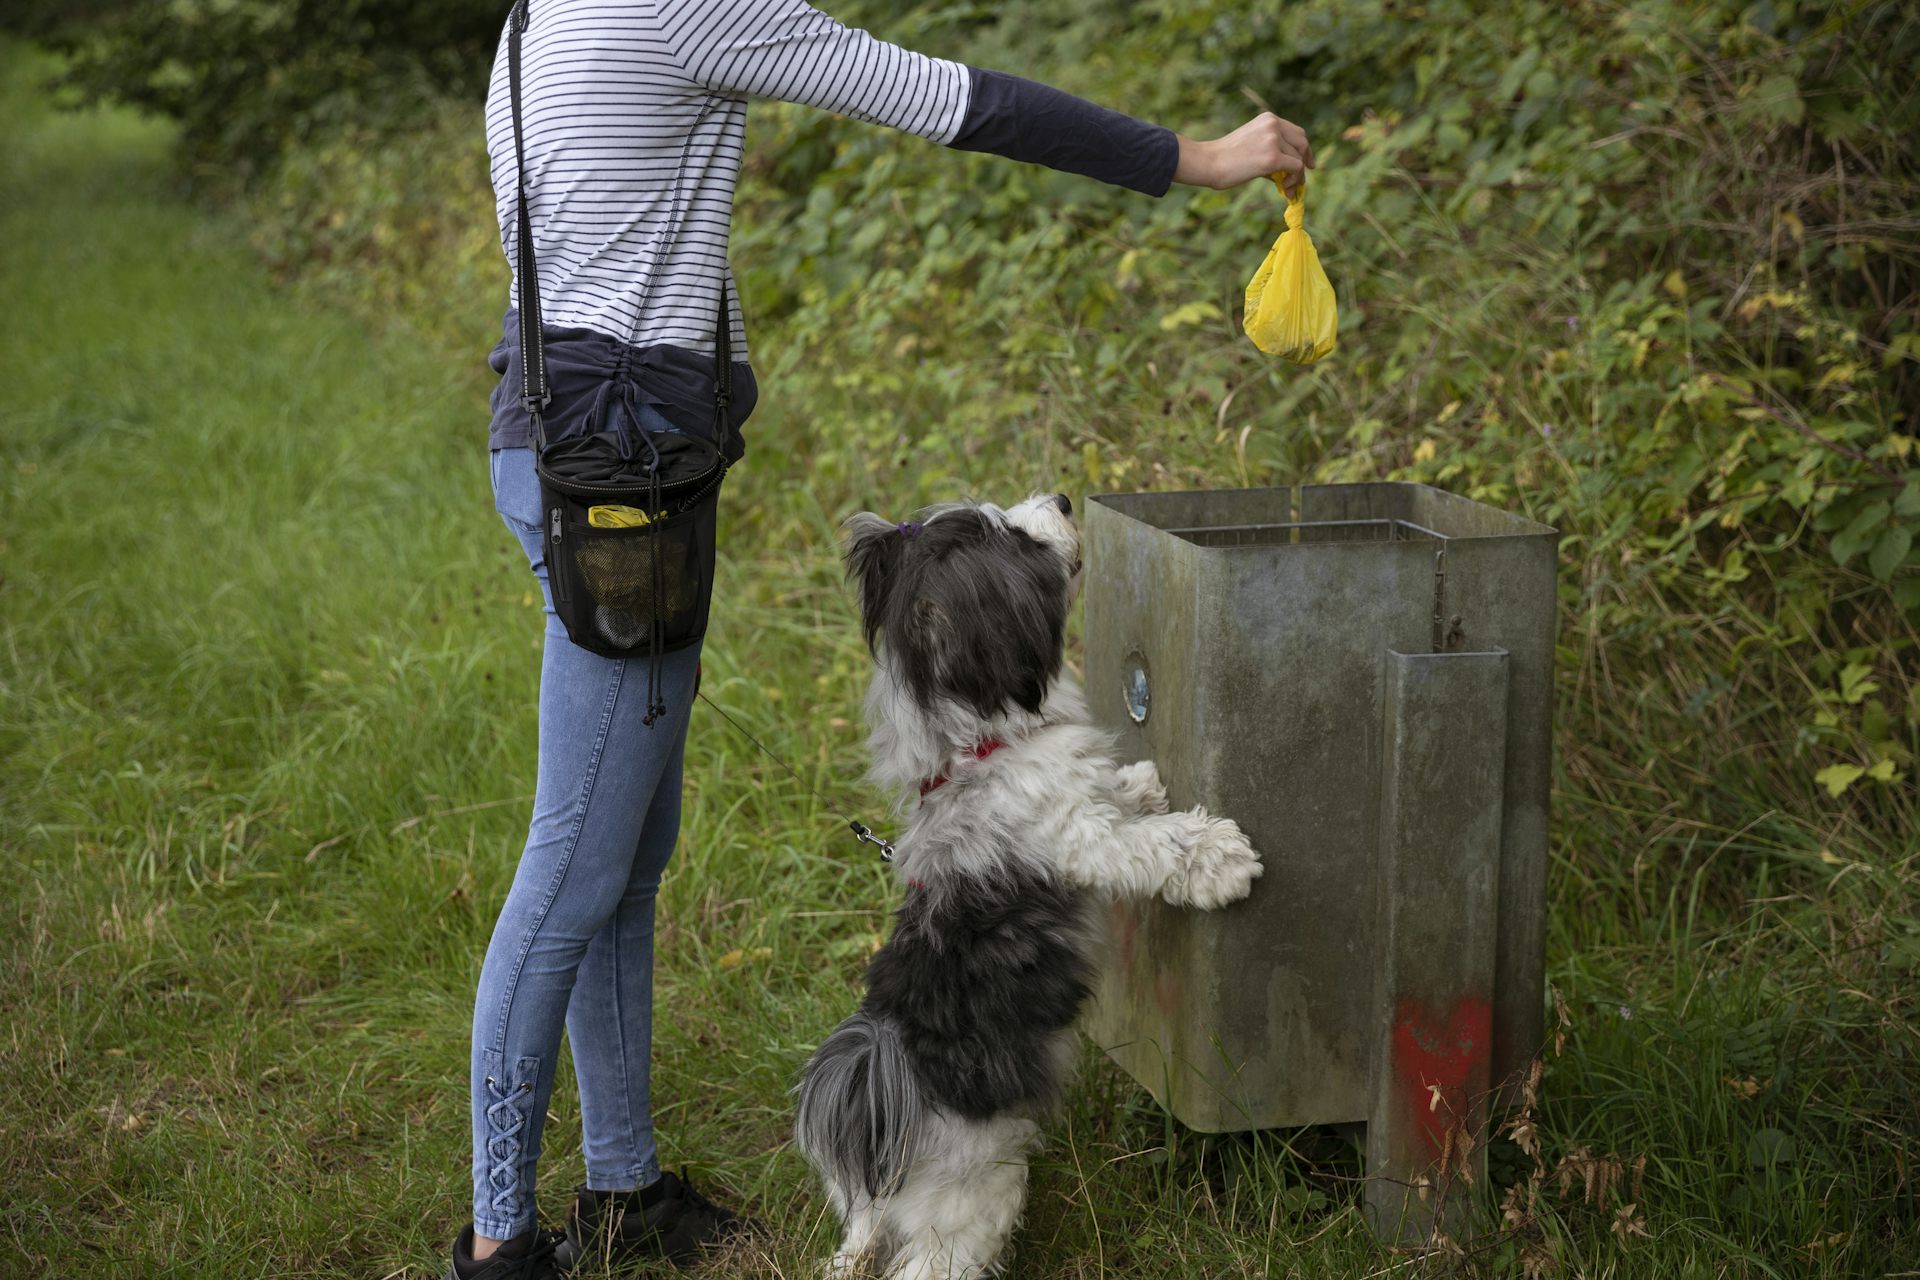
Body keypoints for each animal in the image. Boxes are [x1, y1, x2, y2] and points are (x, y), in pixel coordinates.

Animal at [794, 498, 1259, 1280]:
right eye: (1013, 538)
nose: (1065, 501)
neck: (978, 752)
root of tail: (879, 1104)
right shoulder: (1080, 837)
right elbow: (1150, 845)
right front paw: (1219, 855)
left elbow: (1123, 801)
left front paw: (1139, 785)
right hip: (973, 1198)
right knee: (930, 1262)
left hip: (870, 1214)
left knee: (859, 1248)